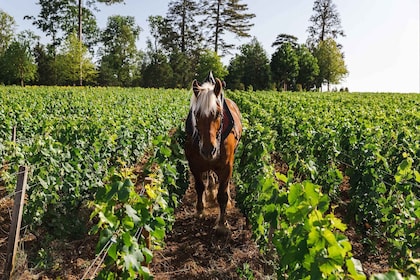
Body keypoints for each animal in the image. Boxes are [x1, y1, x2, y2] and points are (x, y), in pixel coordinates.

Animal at [185, 71, 243, 234]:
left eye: (218, 114)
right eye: (196, 114)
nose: (208, 150)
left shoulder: (227, 166)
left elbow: (222, 195)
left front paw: (222, 224)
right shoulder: (194, 164)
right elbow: (199, 186)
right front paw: (200, 210)